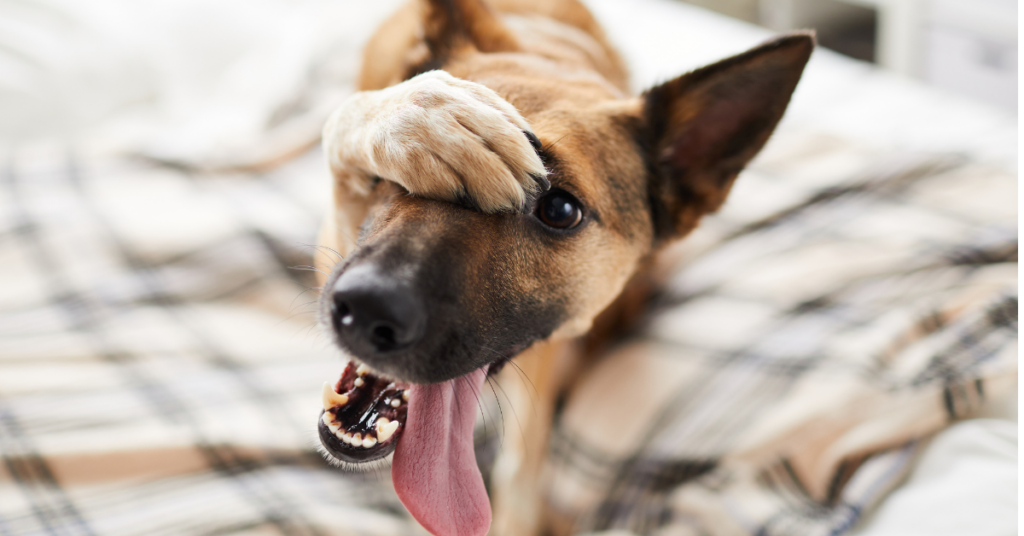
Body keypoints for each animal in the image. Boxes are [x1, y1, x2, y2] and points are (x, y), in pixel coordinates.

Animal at [309, 2, 806, 532]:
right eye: (402, 173)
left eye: (561, 210)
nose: (365, 310)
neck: (554, 59)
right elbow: (352, 121)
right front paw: (419, 117)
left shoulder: (544, 363)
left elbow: (524, 464)